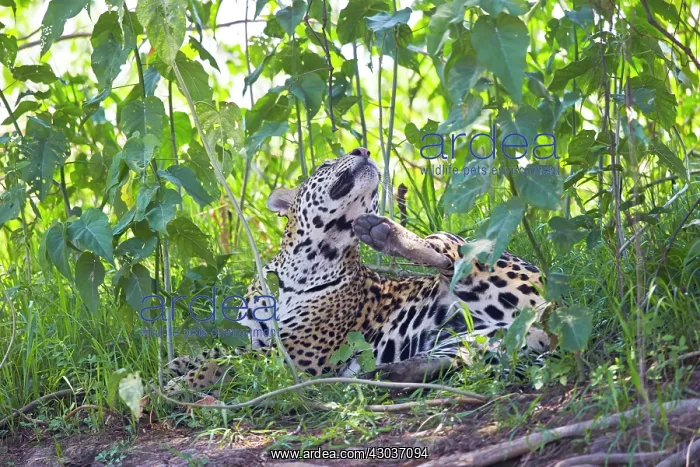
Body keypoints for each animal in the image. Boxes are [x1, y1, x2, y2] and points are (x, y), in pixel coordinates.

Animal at [161, 147, 551, 396]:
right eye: (325, 162)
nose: (361, 149)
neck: (303, 267)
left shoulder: (297, 352)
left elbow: (226, 362)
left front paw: (182, 384)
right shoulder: (256, 337)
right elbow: (209, 352)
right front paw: (169, 370)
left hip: (473, 256)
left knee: (450, 258)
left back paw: (385, 233)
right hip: (472, 342)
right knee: (454, 360)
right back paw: (380, 374)